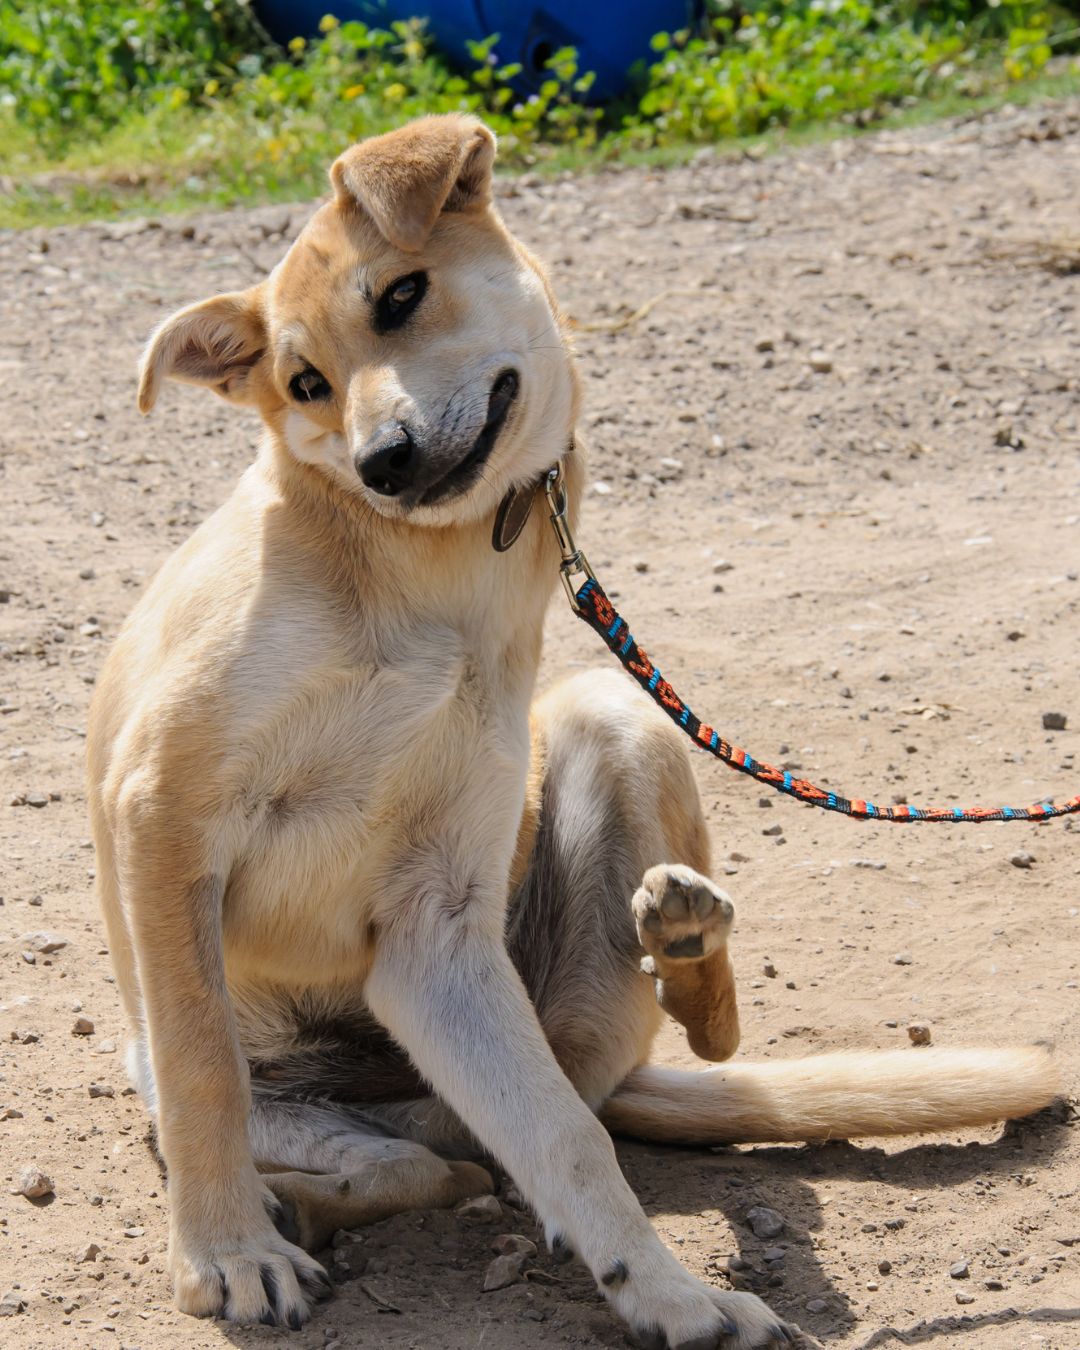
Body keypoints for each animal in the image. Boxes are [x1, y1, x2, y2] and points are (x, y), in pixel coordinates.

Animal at [86, 116, 1063, 1350]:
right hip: (245, 1084)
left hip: (608, 720)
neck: (419, 573)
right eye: (304, 383)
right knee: (397, 1156)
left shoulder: (436, 930)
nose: (382, 463)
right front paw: (226, 1256)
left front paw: (673, 1295)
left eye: (402, 294)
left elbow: (571, 1142)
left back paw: (685, 941)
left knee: (585, 1102)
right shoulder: (164, 815)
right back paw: (298, 1208)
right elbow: (205, 1067)